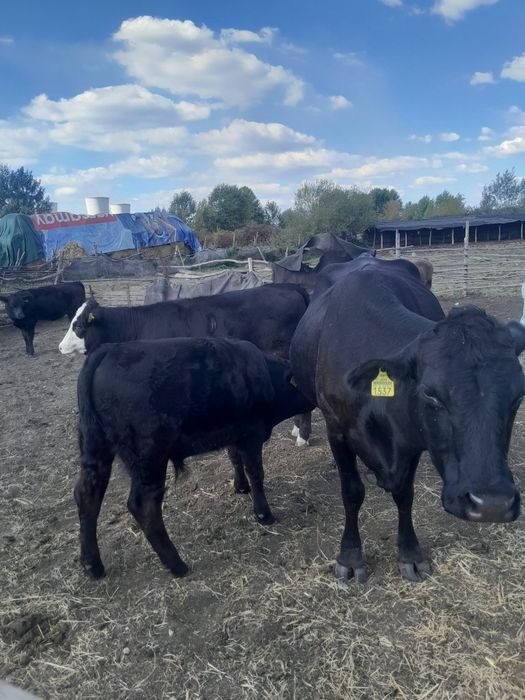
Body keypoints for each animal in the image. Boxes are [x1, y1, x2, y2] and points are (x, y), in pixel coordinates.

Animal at [75, 337, 315, 578]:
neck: (266, 377)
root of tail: (107, 351)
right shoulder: (251, 435)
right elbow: (256, 473)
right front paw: (264, 514)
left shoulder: (234, 433)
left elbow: (234, 458)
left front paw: (240, 487)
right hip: (149, 458)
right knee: (144, 506)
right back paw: (177, 565)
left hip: (95, 449)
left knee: (87, 497)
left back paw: (92, 565)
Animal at [290, 256, 525, 583]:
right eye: (430, 394)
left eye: (518, 395)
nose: (492, 505)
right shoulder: (337, 429)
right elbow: (351, 492)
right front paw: (350, 556)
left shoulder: (412, 439)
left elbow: (404, 495)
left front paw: (410, 553)